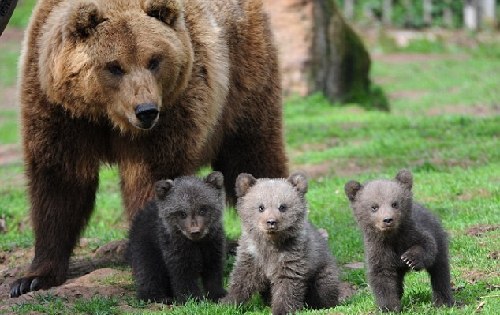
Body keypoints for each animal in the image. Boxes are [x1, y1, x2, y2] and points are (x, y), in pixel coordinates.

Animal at [9, 0, 288, 298]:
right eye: (114, 66)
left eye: (154, 60)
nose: (146, 111)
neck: (106, 116)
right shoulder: (59, 111)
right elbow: (59, 183)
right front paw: (32, 278)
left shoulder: (171, 112)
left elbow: (151, 179)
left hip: (243, 81)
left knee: (253, 154)